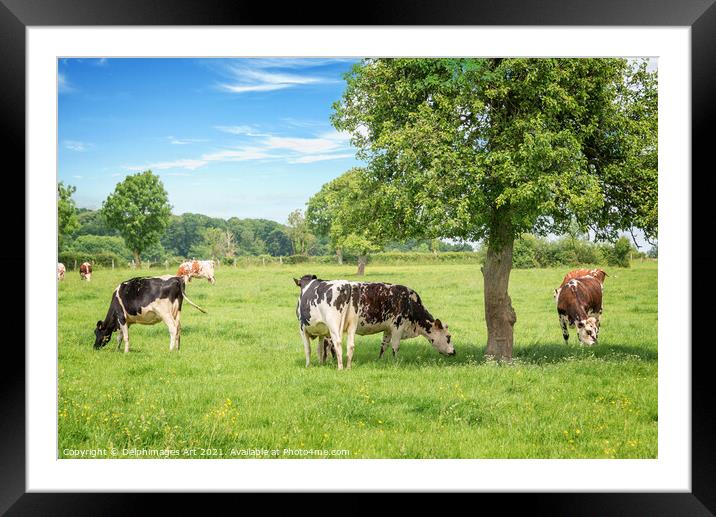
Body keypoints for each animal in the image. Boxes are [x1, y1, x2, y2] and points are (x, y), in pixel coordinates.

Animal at [292, 274, 454, 366]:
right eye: (448, 337)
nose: (454, 352)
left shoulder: (388, 329)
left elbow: (384, 346)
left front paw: (380, 360)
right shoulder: (398, 326)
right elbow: (395, 347)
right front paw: (396, 363)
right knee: (330, 345)